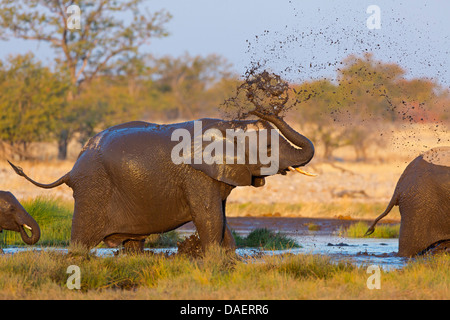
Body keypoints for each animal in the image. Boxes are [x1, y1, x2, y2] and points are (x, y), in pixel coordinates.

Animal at [8, 112, 314, 252]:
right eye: (269, 149)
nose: (261, 107)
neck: (228, 127)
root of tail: (71, 169)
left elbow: (221, 218)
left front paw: (230, 260)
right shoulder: (196, 175)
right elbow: (209, 217)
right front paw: (214, 261)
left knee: (132, 244)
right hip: (93, 187)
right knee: (81, 241)